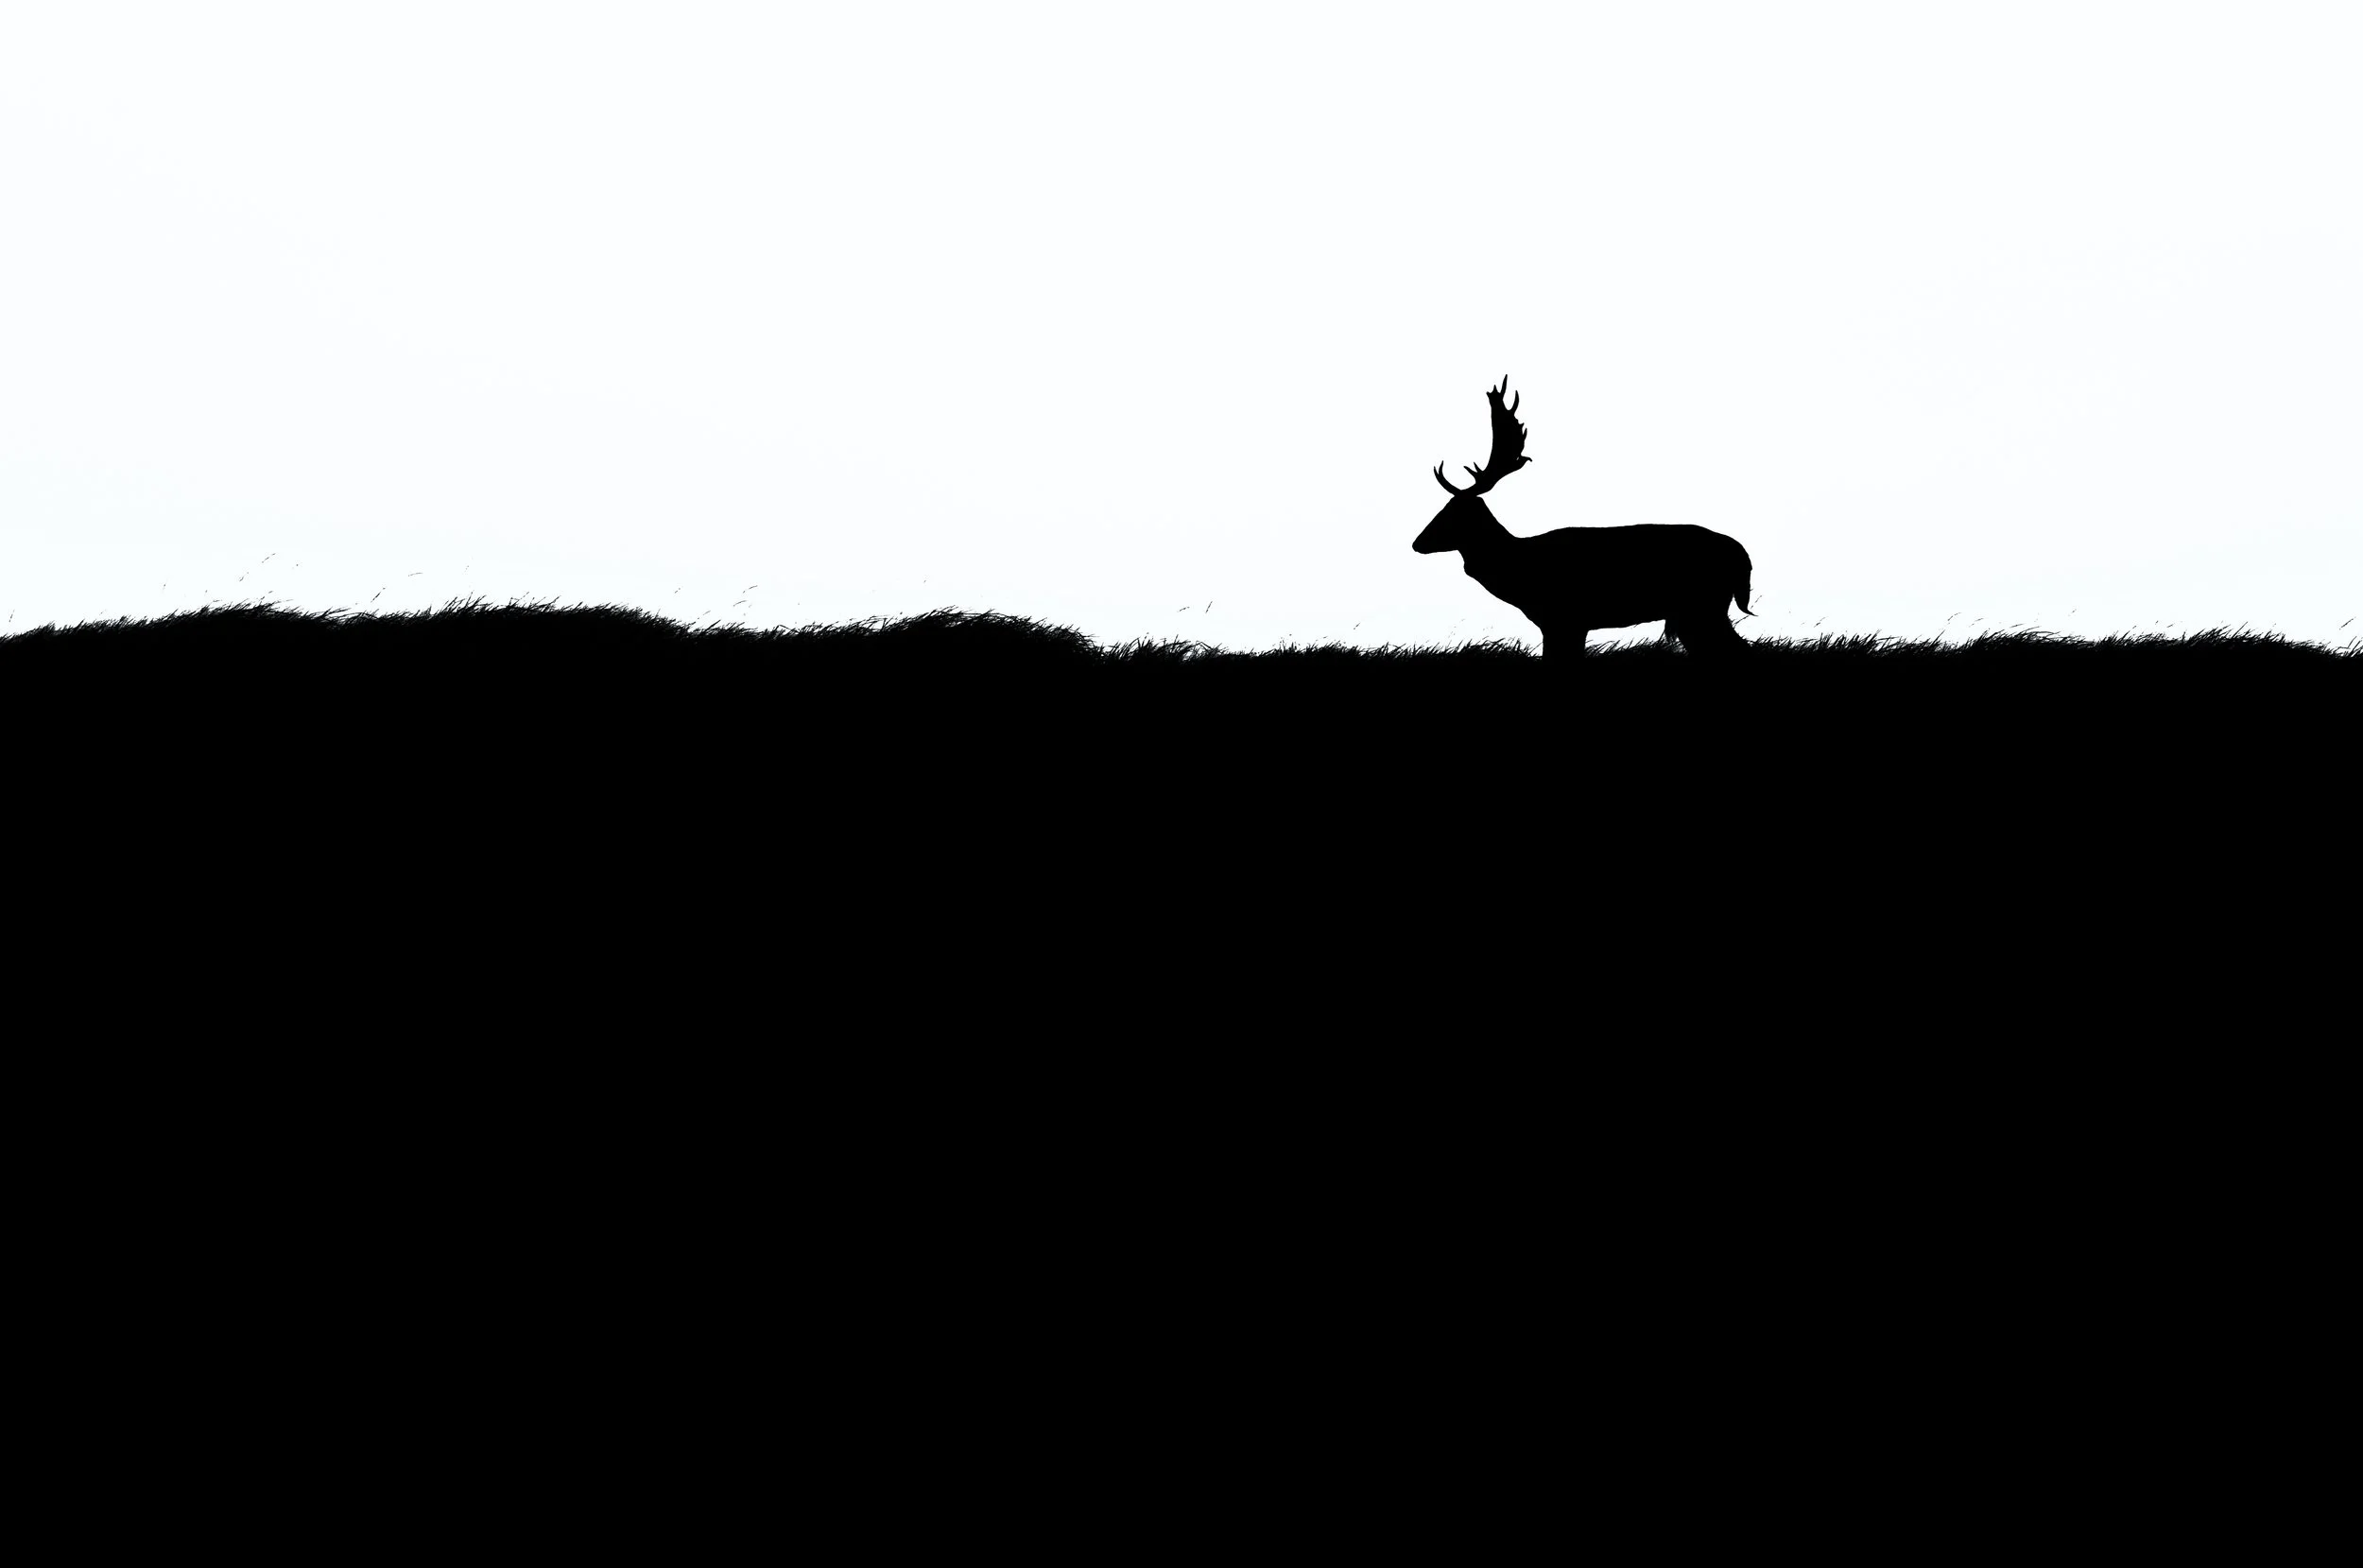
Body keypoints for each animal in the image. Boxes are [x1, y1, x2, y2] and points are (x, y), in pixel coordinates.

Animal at [1414, 379, 1754, 663]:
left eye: (1450, 513)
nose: (1418, 543)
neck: (1520, 569)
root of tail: (1743, 557)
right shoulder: (1567, 624)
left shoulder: (1563, 618)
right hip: (1694, 612)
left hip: (1703, 604)